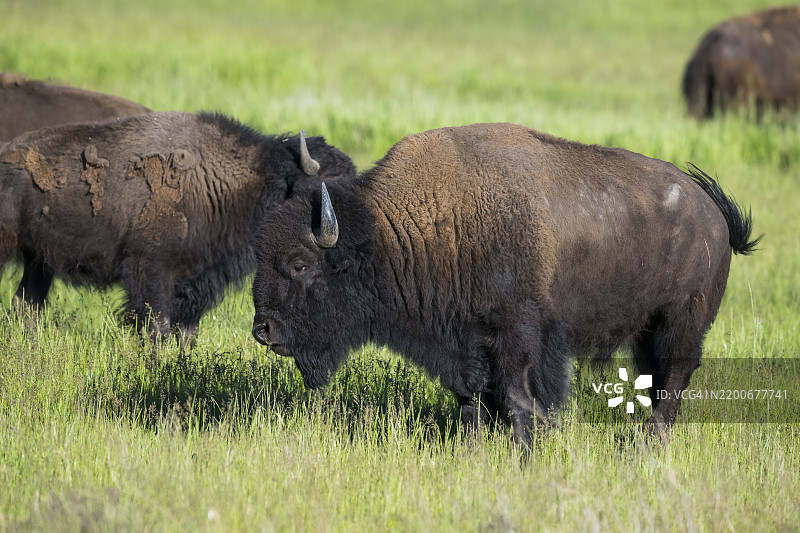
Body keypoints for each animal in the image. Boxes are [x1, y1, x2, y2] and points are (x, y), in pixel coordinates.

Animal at [0, 111, 355, 342]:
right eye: (325, 185)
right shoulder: (151, 271)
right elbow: (156, 327)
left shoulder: (198, 282)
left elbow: (187, 332)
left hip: (39, 260)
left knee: (26, 303)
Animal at [251, 123, 759, 441]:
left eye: (300, 264)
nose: (263, 330)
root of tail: (713, 213)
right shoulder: (465, 344)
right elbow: (471, 399)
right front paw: (475, 447)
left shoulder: (517, 336)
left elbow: (516, 398)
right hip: (647, 330)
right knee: (656, 378)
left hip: (682, 322)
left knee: (674, 377)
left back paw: (650, 443)